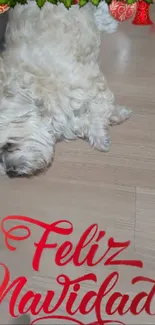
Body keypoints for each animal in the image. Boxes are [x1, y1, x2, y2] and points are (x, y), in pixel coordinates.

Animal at [0, 1, 131, 176]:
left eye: (9, 145)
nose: (11, 170)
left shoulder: (87, 83)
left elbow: (99, 109)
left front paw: (102, 133)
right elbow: (83, 121)